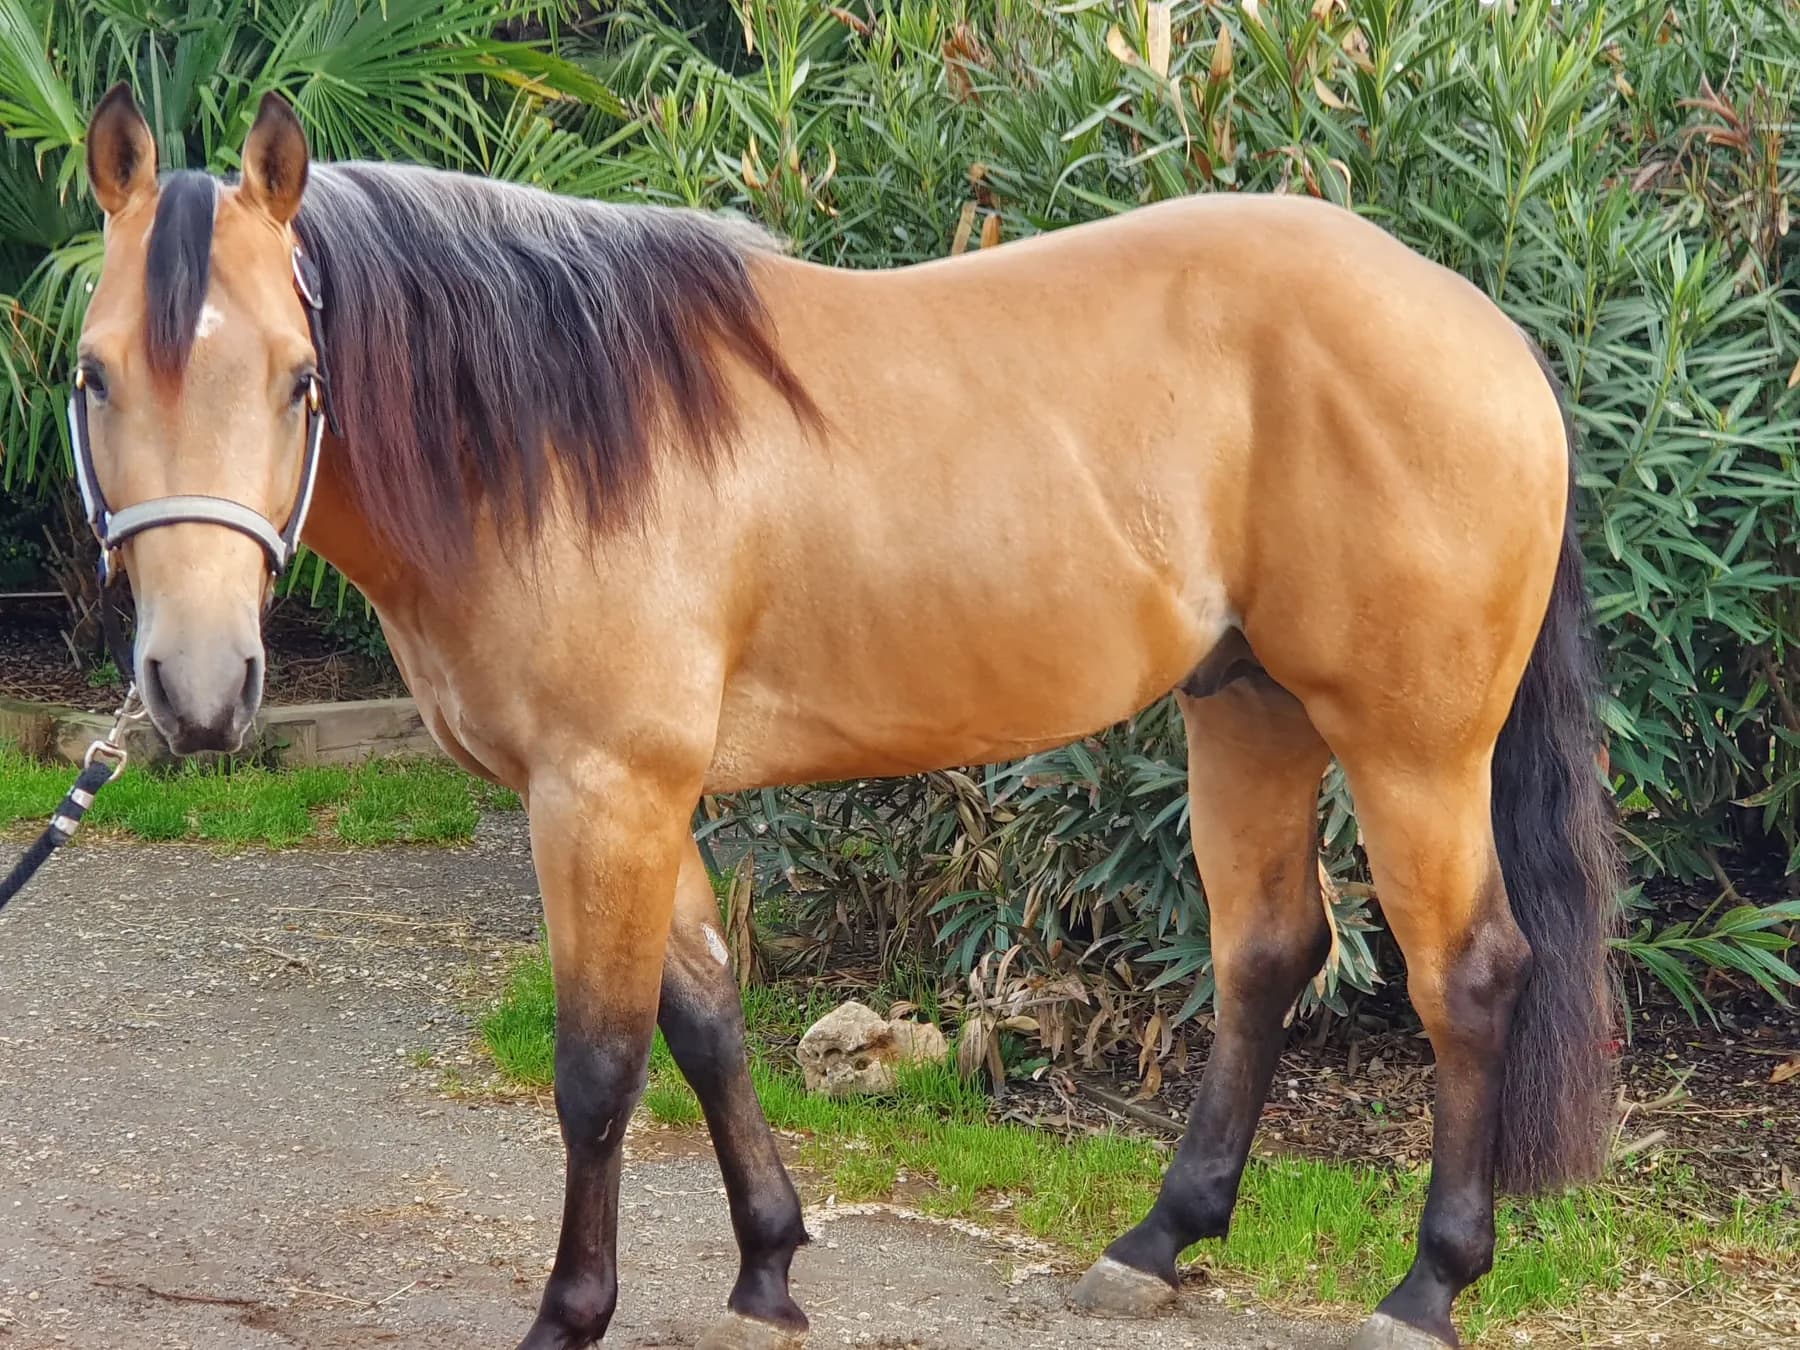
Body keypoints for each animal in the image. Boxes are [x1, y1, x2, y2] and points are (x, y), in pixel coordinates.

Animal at [70, 86, 1618, 1350]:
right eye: (91, 374)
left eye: (299, 376)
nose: (197, 690)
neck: (554, 448)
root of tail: (1482, 326)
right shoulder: (644, 798)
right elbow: (706, 1017)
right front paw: (767, 1266)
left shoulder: (602, 789)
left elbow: (600, 1069)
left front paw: (573, 1312)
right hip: (1251, 708)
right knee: (1268, 953)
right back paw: (1156, 1243)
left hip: (1412, 750)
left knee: (1470, 973)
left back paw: (1426, 1286)